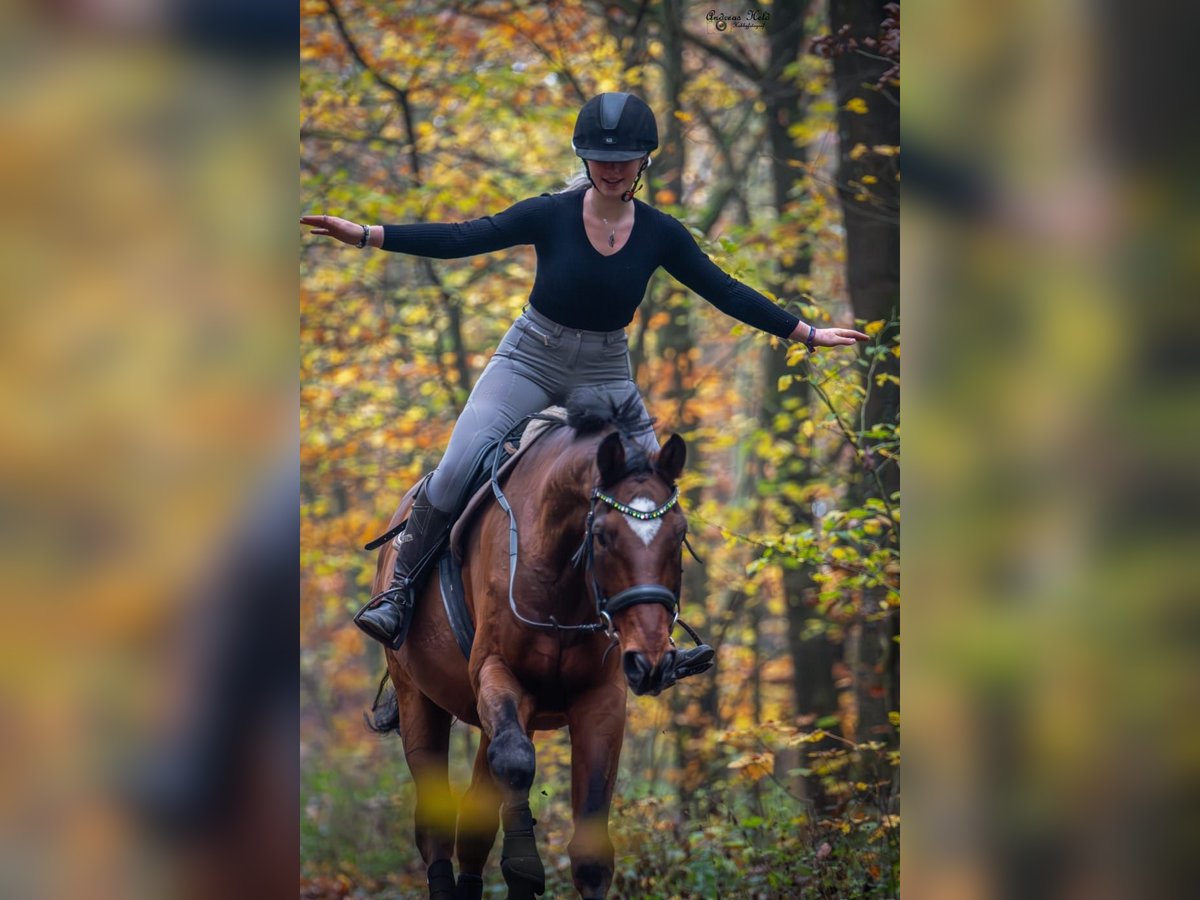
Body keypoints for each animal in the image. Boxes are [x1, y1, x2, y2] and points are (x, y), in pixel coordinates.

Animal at [369, 393, 691, 900]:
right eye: (603, 535)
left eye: (679, 534)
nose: (650, 660)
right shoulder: (497, 670)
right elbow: (516, 762)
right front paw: (523, 863)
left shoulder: (600, 699)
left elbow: (591, 852)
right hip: (419, 697)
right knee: (436, 822)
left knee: (476, 816)